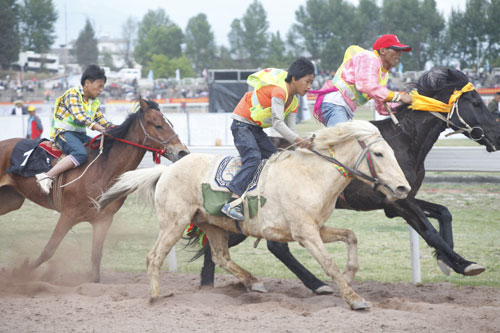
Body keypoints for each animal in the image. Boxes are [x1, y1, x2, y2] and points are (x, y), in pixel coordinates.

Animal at [0, 97, 189, 282]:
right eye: (158, 125)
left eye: (170, 124)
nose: (182, 152)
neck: (103, 168)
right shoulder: (68, 215)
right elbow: (49, 249)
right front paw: (22, 271)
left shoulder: (103, 220)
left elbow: (96, 257)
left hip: (11, 200)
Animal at [98, 119, 410, 308]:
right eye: (379, 154)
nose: (403, 187)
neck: (312, 175)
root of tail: (165, 170)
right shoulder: (306, 233)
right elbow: (328, 264)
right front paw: (354, 298)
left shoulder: (317, 228)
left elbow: (351, 237)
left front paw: (350, 275)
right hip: (174, 223)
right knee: (154, 257)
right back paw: (156, 298)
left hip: (212, 225)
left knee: (220, 257)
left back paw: (253, 282)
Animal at [193, 68, 500, 294]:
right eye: (476, 102)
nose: (496, 136)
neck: (403, 141)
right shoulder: (396, 202)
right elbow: (430, 231)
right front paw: (463, 263)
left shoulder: (401, 197)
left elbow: (444, 214)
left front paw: (450, 262)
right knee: (231, 244)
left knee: (242, 245)